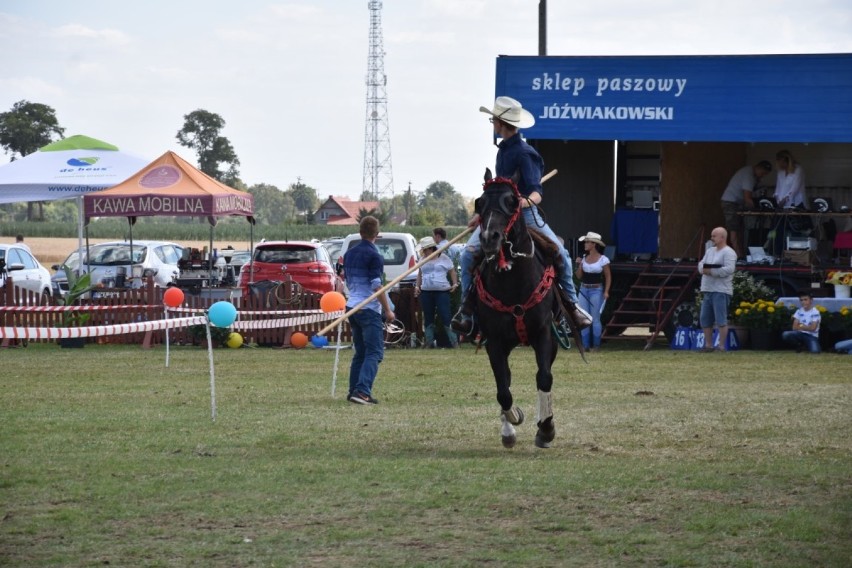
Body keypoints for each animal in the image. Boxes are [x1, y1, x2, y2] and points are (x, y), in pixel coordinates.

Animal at [476, 169, 564, 448]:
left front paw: (546, 429)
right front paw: (511, 424)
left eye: (512, 201)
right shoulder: (494, 341)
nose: (488, 238)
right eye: (479, 203)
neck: (514, 281)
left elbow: (544, 378)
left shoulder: (544, 334)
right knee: (506, 379)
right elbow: (503, 389)